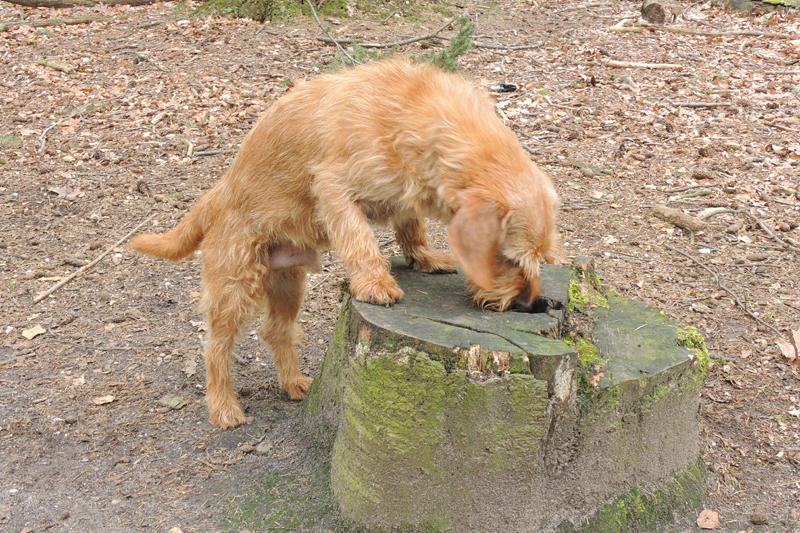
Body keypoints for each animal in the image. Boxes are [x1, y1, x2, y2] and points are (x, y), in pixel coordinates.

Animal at [130, 59, 564, 428]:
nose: (529, 305)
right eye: (509, 259)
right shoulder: (336, 187)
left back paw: (294, 383)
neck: (413, 114)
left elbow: (411, 227)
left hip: (287, 284)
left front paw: (422, 258)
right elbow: (360, 239)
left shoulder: (405, 196)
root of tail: (216, 194)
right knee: (216, 348)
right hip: (235, 287)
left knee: (275, 332)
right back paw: (224, 407)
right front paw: (376, 283)